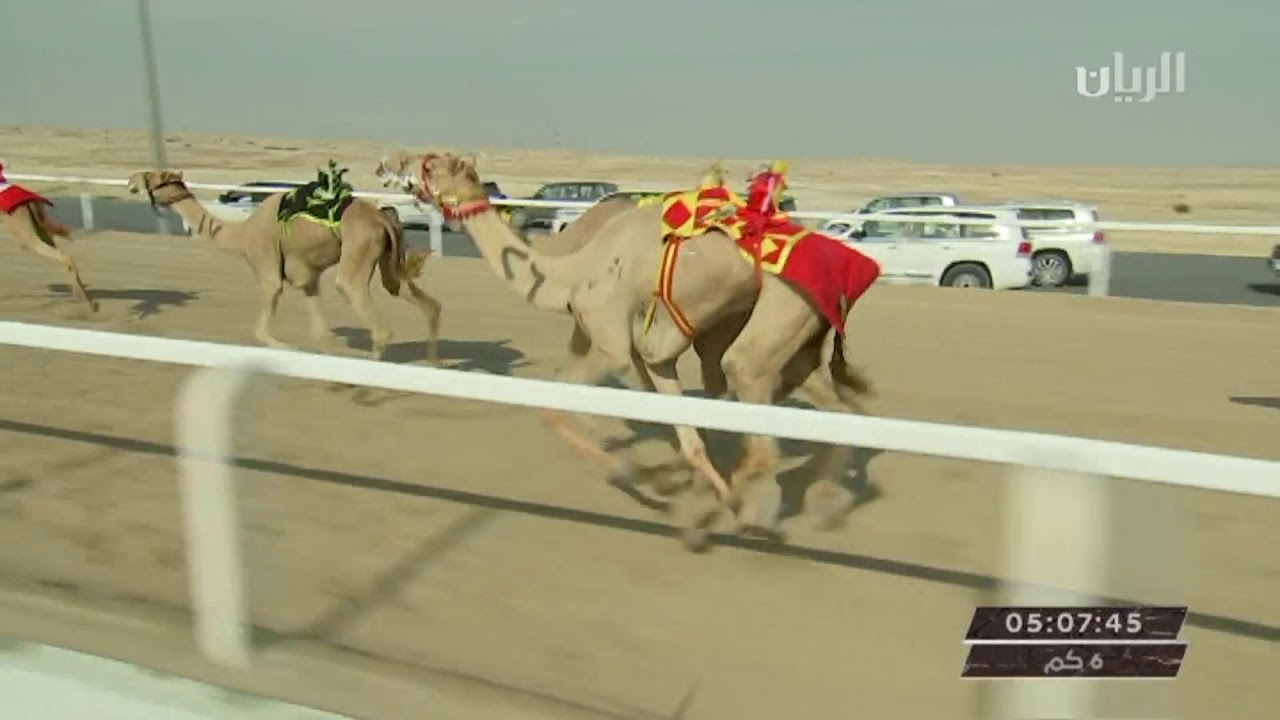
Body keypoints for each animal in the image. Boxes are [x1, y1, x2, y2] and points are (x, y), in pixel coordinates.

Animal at [0, 162, 97, 312]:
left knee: (63, 256)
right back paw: (87, 300)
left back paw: (84, 301)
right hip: (41, 226)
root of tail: (29, 202)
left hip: (25, 232)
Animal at [126, 169, 442, 362]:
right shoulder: (308, 278)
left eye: (153, 177)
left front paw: (290, 347)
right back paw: (433, 363)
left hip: (358, 251)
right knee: (418, 298)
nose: (131, 180)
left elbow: (263, 332)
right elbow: (321, 333)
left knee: (364, 305)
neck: (242, 235)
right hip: (388, 258)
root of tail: (381, 217)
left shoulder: (267, 269)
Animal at [409, 153, 878, 547]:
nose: (400, 170)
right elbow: (687, 439)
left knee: (752, 398)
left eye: (432, 165)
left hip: (779, 314)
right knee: (837, 411)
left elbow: (554, 409)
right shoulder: (656, 356)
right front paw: (689, 494)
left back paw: (756, 513)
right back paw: (823, 506)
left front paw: (645, 476)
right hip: (801, 337)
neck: (571, 272)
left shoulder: (611, 343)